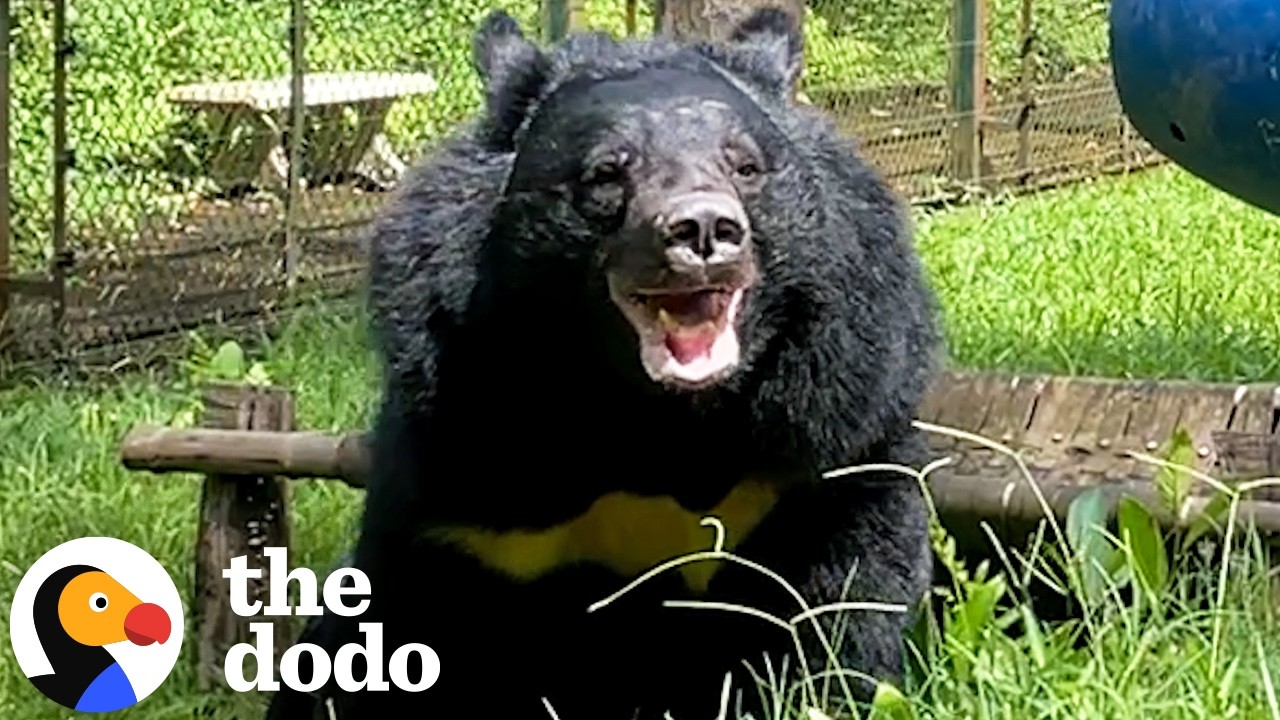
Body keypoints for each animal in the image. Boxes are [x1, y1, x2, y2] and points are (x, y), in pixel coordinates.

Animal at [265, 7, 943, 720]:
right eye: (606, 173)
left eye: (745, 165)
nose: (703, 229)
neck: (653, 418)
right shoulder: (464, 465)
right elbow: (398, 633)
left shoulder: (830, 431)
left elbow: (843, 599)